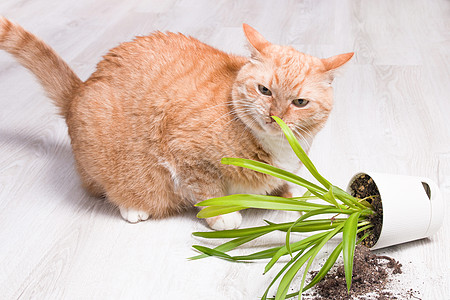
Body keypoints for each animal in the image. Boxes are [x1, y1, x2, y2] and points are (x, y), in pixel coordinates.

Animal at [0, 17, 354, 230]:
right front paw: (223, 216)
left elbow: (281, 184)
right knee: (102, 187)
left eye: (299, 103)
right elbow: (208, 191)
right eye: (263, 90)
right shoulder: (187, 154)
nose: (273, 116)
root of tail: (79, 91)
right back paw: (132, 207)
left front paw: (290, 195)